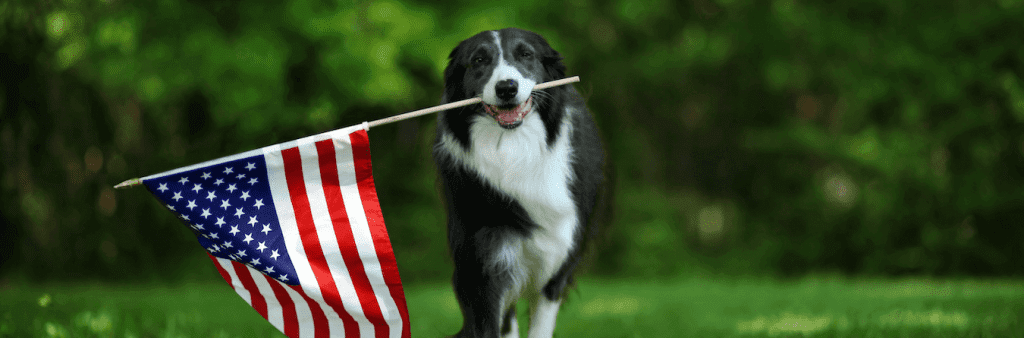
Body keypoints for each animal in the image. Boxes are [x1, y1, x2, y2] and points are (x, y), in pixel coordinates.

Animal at [434, 28, 606, 338]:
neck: (514, 150)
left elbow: (541, 325)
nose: (506, 88)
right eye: (479, 60)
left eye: (526, 55)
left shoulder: (557, 263)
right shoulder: (482, 265)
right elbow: (490, 323)